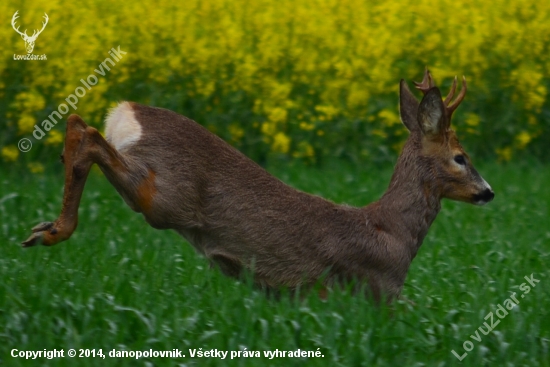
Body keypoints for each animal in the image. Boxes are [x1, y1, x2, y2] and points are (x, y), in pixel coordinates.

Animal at [21, 70, 496, 304]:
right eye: (461, 157)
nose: (488, 192)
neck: (392, 231)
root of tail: (125, 112)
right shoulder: (377, 287)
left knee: (77, 123)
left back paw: (42, 227)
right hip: (164, 194)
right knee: (88, 138)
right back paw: (53, 230)